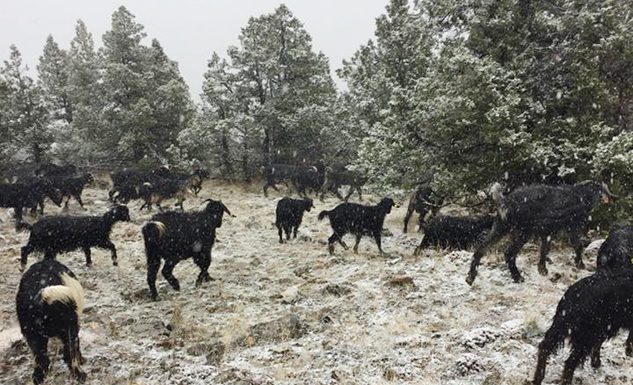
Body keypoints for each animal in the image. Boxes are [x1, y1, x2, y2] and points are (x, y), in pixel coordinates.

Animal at [464, 181, 616, 284]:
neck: (582, 196)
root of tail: (507, 202)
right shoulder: (572, 229)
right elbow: (577, 246)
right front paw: (580, 264)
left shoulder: (546, 233)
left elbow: (544, 250)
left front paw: (542, 269)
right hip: (524, 233)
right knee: (509, 253)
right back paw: (517, 277)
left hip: (500, 229)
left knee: (480, 250)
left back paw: (471, 277)